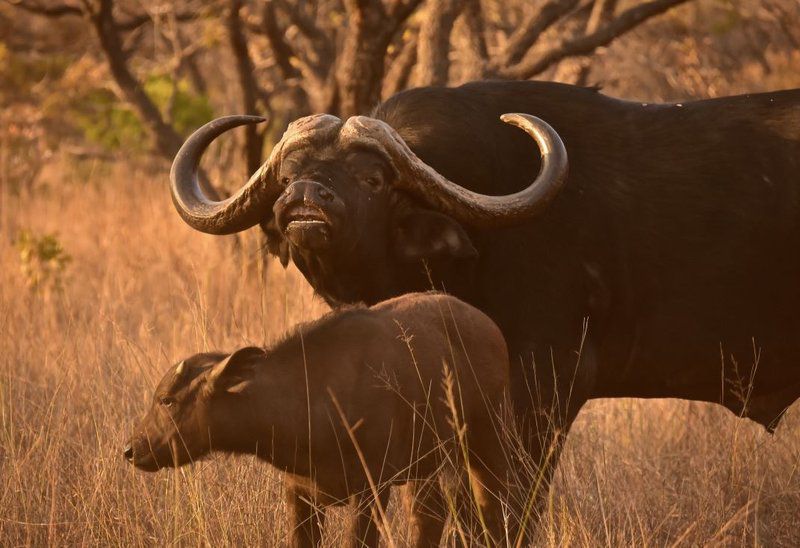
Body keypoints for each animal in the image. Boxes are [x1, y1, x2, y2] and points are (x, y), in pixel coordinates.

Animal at [125, 296, 512, 548]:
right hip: (426, 466)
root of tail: (490, 326)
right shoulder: (299, 495)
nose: (131, 449)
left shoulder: (371, 490)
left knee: (491, 511)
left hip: (485, 443)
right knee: (428, 520)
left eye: (167, 400)